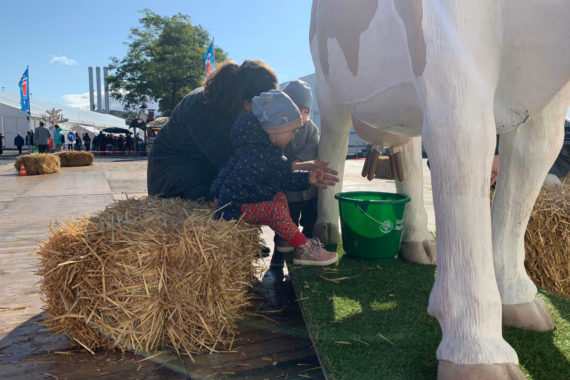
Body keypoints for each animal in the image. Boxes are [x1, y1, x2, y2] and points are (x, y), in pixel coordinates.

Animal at [308, 1, 564, 378]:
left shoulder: (550, 101)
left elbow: (535, 158)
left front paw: (516, 296)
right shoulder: (448, 44)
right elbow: (464, 143)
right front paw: (478, 351)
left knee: (409, 149)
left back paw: (418, 242)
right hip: (328, 83)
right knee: (334, 139)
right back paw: (326, 228)